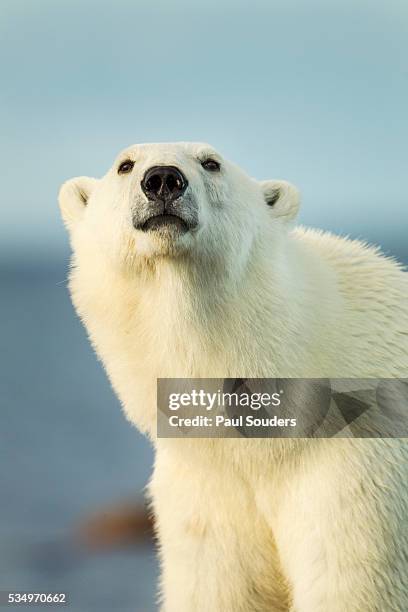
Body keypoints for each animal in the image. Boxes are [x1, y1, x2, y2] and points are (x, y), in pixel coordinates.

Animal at [59, 143, 406, 612]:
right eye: (125, 164)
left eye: (211, 162)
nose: (163, 179)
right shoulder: (209, 490)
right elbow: (219, 584)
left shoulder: (359, 468)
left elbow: (353, 583)